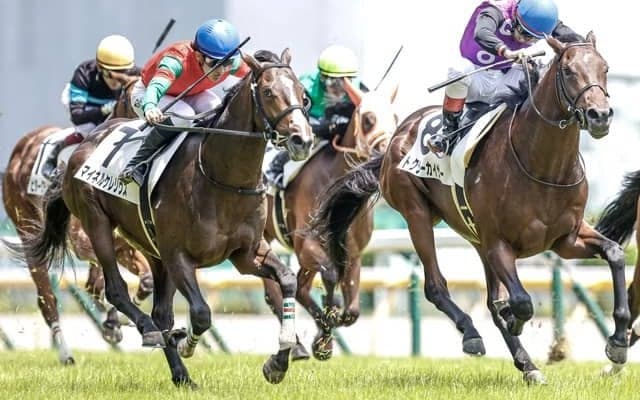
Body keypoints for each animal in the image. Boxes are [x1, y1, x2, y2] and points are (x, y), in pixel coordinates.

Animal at [1, 76, 150, 364]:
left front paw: (118, 318)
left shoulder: (124, 244)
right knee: (47, 299)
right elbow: (100, 282)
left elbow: (143, 279)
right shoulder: (84, 242)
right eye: (135, 99)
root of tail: (23, 144)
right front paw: (115, 317)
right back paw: (66, 353)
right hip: (27, 230)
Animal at [16, 49, 313, 388]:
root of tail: (87, 141)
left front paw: (278, 361)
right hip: (98, 224)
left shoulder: (246, 254)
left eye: (303, 95)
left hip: (151, 248)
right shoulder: (178, 256)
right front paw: (185, 344)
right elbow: (201, 313)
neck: (221, 177)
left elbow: (287, 280)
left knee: (160, 312)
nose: (302, 140)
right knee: (117, 291)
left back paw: (181, 375)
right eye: (268, 92)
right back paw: (151, 333)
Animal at [262, 78, 398, 361]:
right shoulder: (306, 246)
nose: (387, 151)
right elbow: (330, 276)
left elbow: (352, 310)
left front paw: (326, 333)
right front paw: (325, 330)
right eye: (368, 119)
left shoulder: (353, 252)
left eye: (395, 117)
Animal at [311, 33, 627, 384]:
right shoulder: (499, 243)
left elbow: (614, 253)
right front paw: (514, 318)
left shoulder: (565, 240)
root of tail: (397, 133)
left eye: (605, 68)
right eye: (569, 71)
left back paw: (528, 365)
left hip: (474, 237)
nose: (600, 115)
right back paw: (473, 334)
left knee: (491, 300)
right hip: (418, 215)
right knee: (436, 286)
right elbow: (521, 302)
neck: (543, 166)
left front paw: (618, 343)